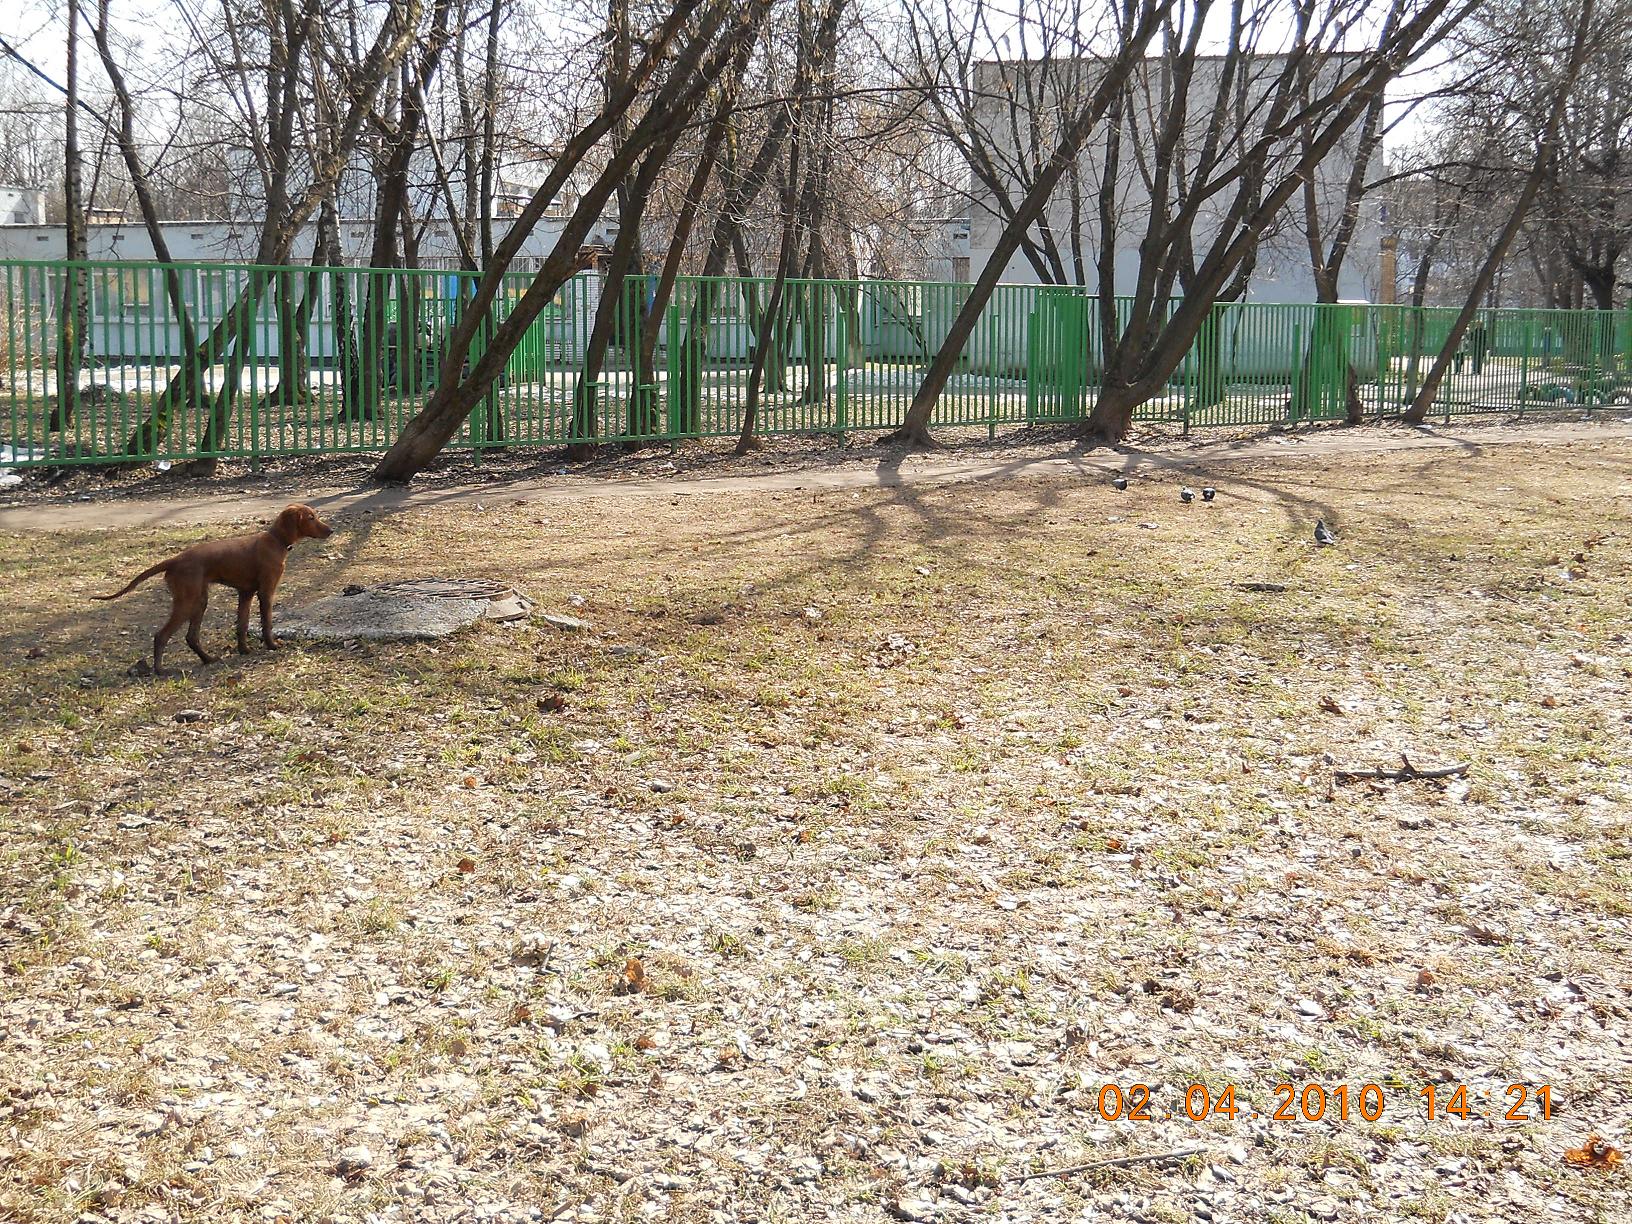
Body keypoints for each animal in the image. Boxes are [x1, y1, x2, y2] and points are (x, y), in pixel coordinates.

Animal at [93, 502, 334, 672]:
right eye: (311, 517)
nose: (331, 530)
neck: (276, 540)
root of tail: (175, 559)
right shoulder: (266, 591)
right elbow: (267, 622)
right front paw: (272, 645)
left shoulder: (245, 593)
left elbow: (242, 625)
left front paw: (244, 650)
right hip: (188, 601)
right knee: (161, 635)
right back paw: (160, 670)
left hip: (199, 600)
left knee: (191, 636)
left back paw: (208, 659)